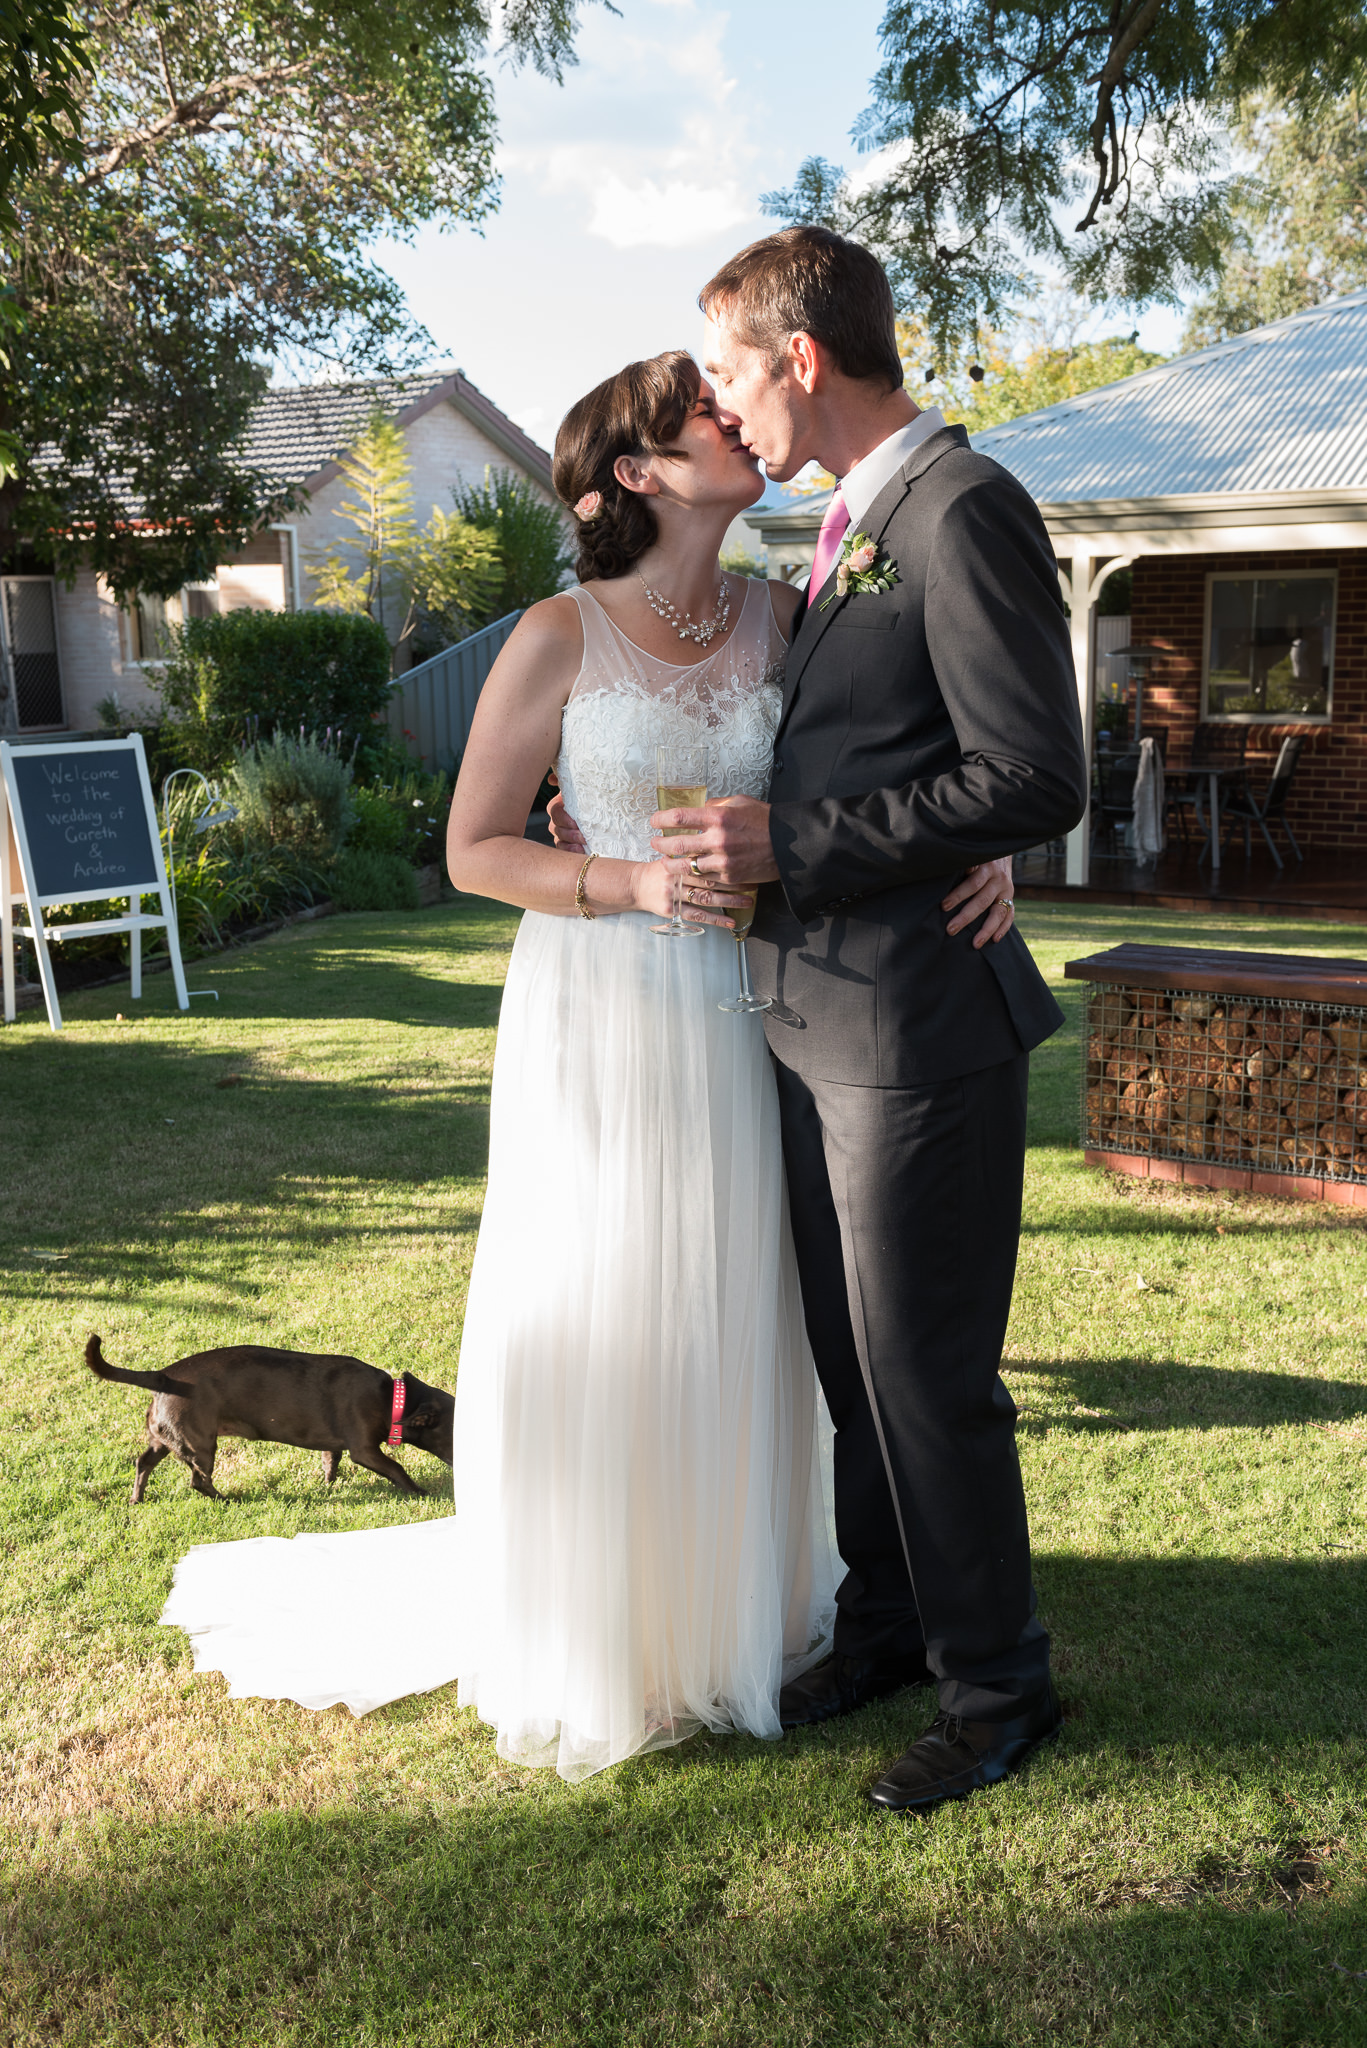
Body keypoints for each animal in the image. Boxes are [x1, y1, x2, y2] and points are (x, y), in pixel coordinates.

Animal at [88, 1327, 457, 1507]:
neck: (394, 1399)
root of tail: (163, 1376)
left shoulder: (336, 1444)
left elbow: (330, 1461)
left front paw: (328, 1484)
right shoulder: (365, 1450)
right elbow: (397, 1469)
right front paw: (421, 1493)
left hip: (165, 1439)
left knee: (143, 1463)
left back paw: (136, 1500)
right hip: (201, 1444)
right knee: (198, 1481)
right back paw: (228, 1501)